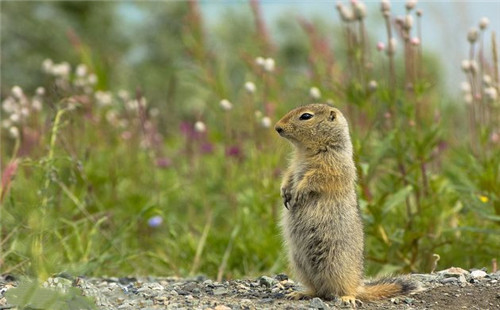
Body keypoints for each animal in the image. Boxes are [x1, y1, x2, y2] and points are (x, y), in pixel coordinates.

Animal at [274, 103, 418, 306]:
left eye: (306, 116)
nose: (277, 127)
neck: (306, 151)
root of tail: (359, 286)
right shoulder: (294, 165)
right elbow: (289, 174)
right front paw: (285, 192)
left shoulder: (333, 164)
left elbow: (318, 177)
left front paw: (300, 191)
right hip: (299, 263)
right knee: (317, 290)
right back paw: (300, 293)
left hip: (337, 265)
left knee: (342, 289)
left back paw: (347, 297)